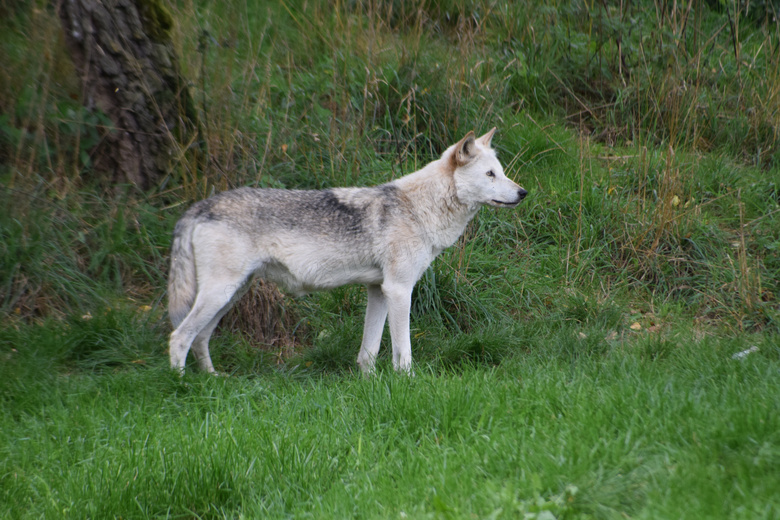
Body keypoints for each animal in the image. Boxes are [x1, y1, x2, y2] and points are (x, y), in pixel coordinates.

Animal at [168, 128, 528, 376]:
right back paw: (183, 385)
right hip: (219, 293)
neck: (418, 209)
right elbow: (403, 351)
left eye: (502, 172)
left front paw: (369, 384)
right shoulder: (399, 290)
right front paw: (408, 383)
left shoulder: (379, 291)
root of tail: (200, 206)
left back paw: (214, 379)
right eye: (490, 174)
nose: (523, 192)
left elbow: (368, 350)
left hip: (229, 296)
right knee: (179, 337)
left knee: (200, 338)